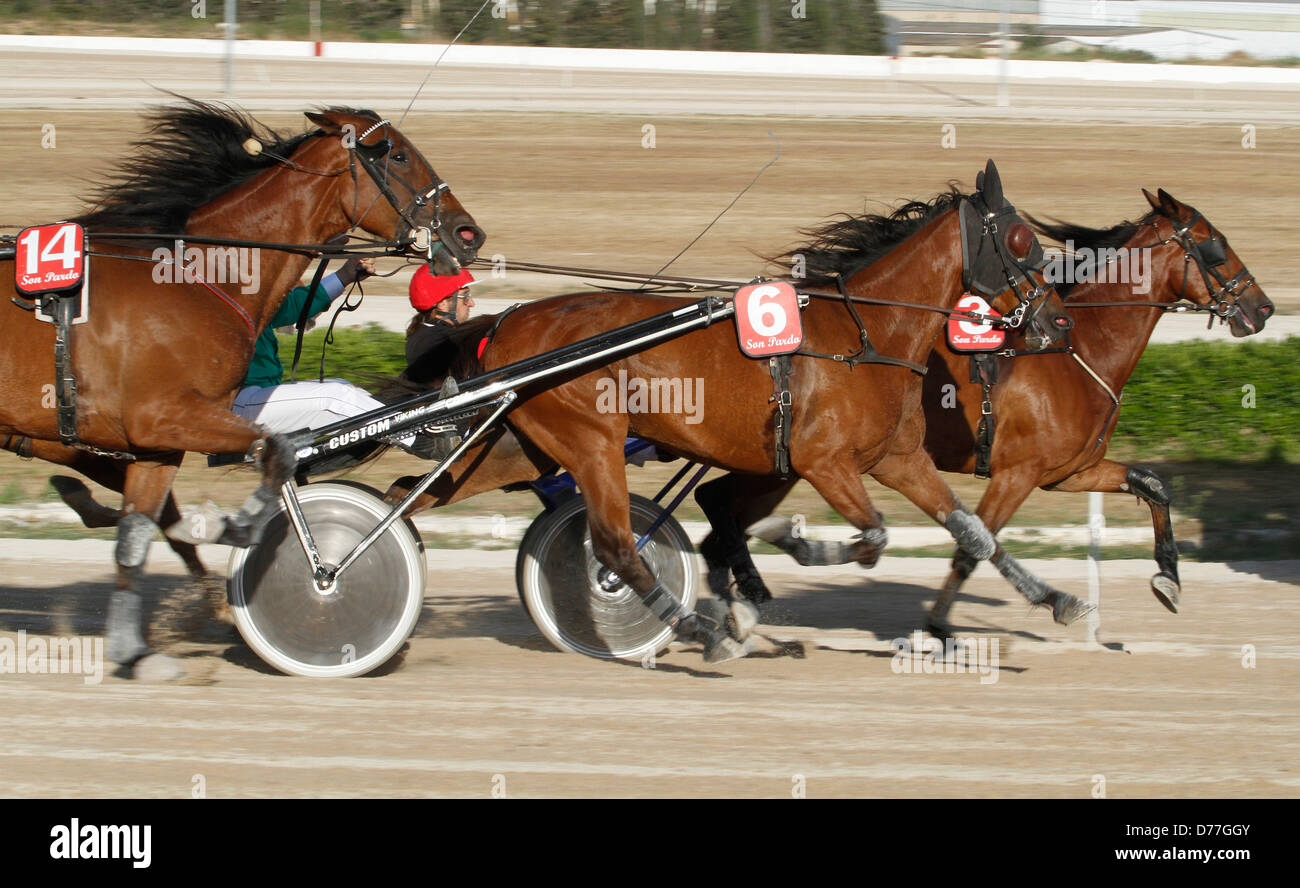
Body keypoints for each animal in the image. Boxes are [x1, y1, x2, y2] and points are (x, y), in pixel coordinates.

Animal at [0, 98, 483, 681]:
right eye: (396, 154)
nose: (468, 233)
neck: (193, 277)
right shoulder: (166, 416)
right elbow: (276, 453)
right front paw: (243, 533)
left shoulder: (155, 443)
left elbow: (135, 536)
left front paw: (135, 652)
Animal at [691, 187, 1268, 639]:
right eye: (1215, 243)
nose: (1262, 308)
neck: (1072, 350)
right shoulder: (1018, 473)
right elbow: (975, 545)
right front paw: (940, 624)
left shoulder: (1070, 472)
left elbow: (1153, 484)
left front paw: (1168, 579)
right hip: (788, 461)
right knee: (719, 509)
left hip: (777, 461)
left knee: (716, 509)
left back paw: (739, 600)